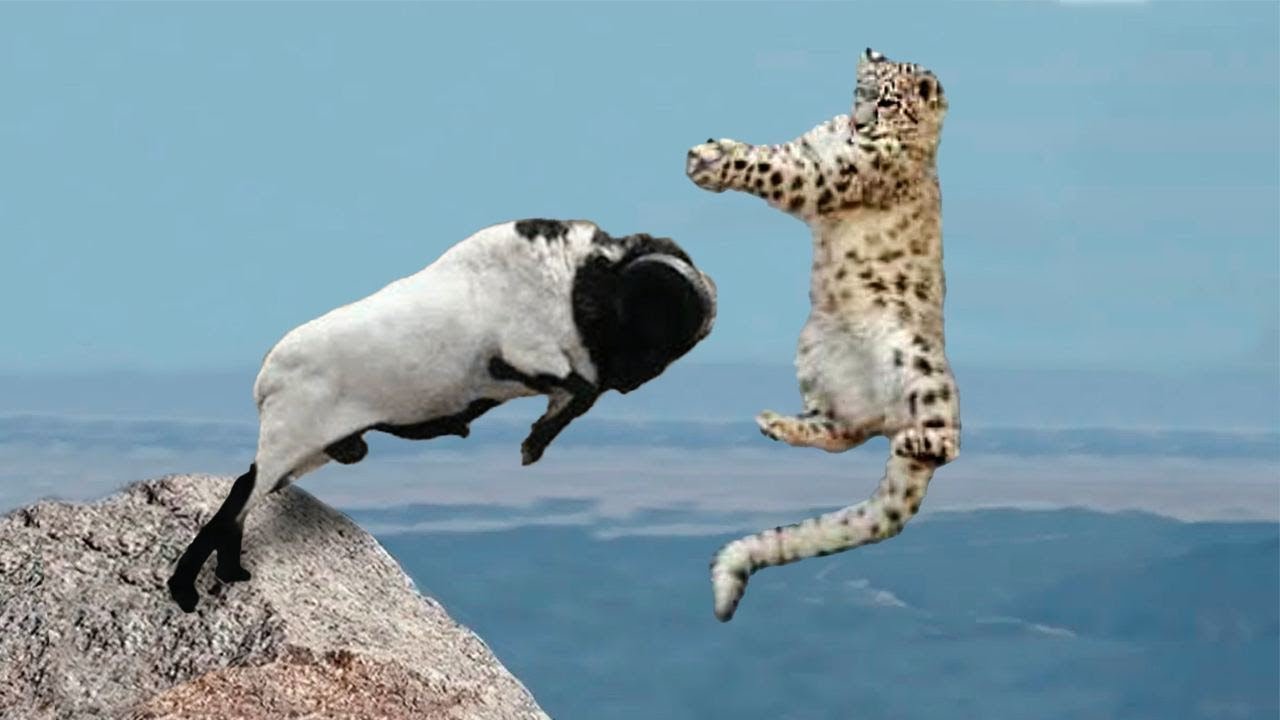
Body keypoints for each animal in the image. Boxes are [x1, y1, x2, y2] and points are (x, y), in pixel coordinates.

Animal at [167, 218, 717, 612]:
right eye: (653, 315)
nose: (709, 307)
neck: (569, 279)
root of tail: (267, 377)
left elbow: (577, 397)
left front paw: (534, 442)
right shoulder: (526, 357)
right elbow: (577, 392)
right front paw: (532, 445)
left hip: (312, 452)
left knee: (244, 493)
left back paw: (226, 576)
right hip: (289, 443)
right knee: (241, 494)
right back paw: (189, 590)